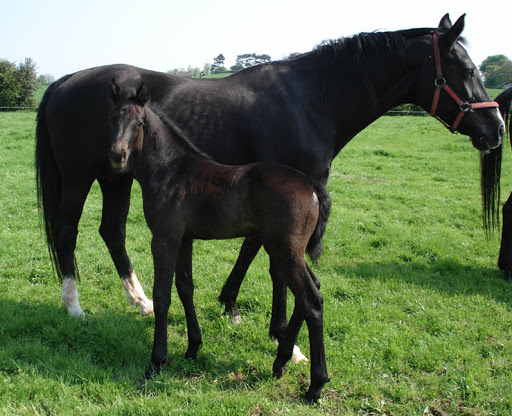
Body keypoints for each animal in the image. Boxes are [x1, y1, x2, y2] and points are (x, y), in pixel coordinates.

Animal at [35, 14, 504, 324]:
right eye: (465, 69)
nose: (497, 127)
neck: (311, 98)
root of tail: (65, 80)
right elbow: (259, 250)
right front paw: (245, 313)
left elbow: (252, 246)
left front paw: (229, 303)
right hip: (80, 177)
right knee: (67, 230)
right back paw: (74, 306)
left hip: (115, 177)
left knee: (111, 231)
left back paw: (142, 302)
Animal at [108, 78, 332, 404]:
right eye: (111, 119)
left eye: (139, 123)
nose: (117, 156)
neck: (168, 169)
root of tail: (310, 184)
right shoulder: (185, 239)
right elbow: (185, 287)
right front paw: (193, 347)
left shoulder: (164, 238)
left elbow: (162, 295)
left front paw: (157, 361)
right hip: (290, 251)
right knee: (311, 290)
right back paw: (280, 362)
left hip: (284, 250)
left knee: (311, 301)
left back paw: (315, 385)